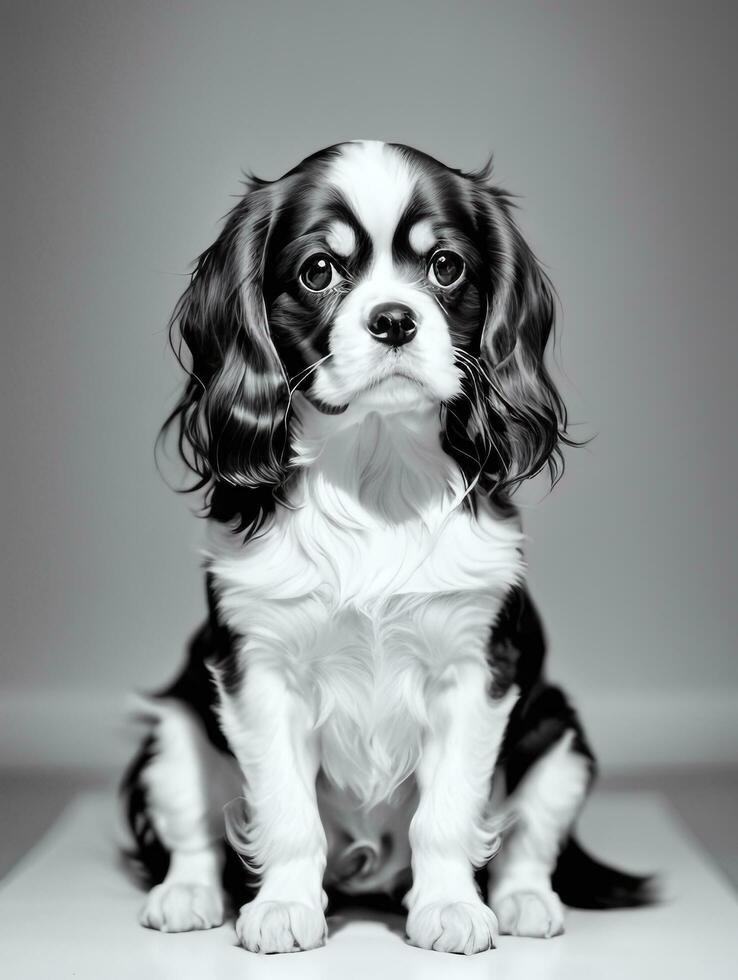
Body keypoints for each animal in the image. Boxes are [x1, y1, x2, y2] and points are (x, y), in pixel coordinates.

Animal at [123, 138, 652, 948]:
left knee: (528, 841)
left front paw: (451, 907)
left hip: (559, 735)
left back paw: (523, 902)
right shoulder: (257, 672)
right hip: (173, 732)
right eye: (317, 271)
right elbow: (285, 811)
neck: (376, 474)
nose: (395, 319)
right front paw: (284, 907)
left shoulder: (477, 674)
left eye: (446, 267)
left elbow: (450, 814)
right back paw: (187, 896)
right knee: (193, 832)